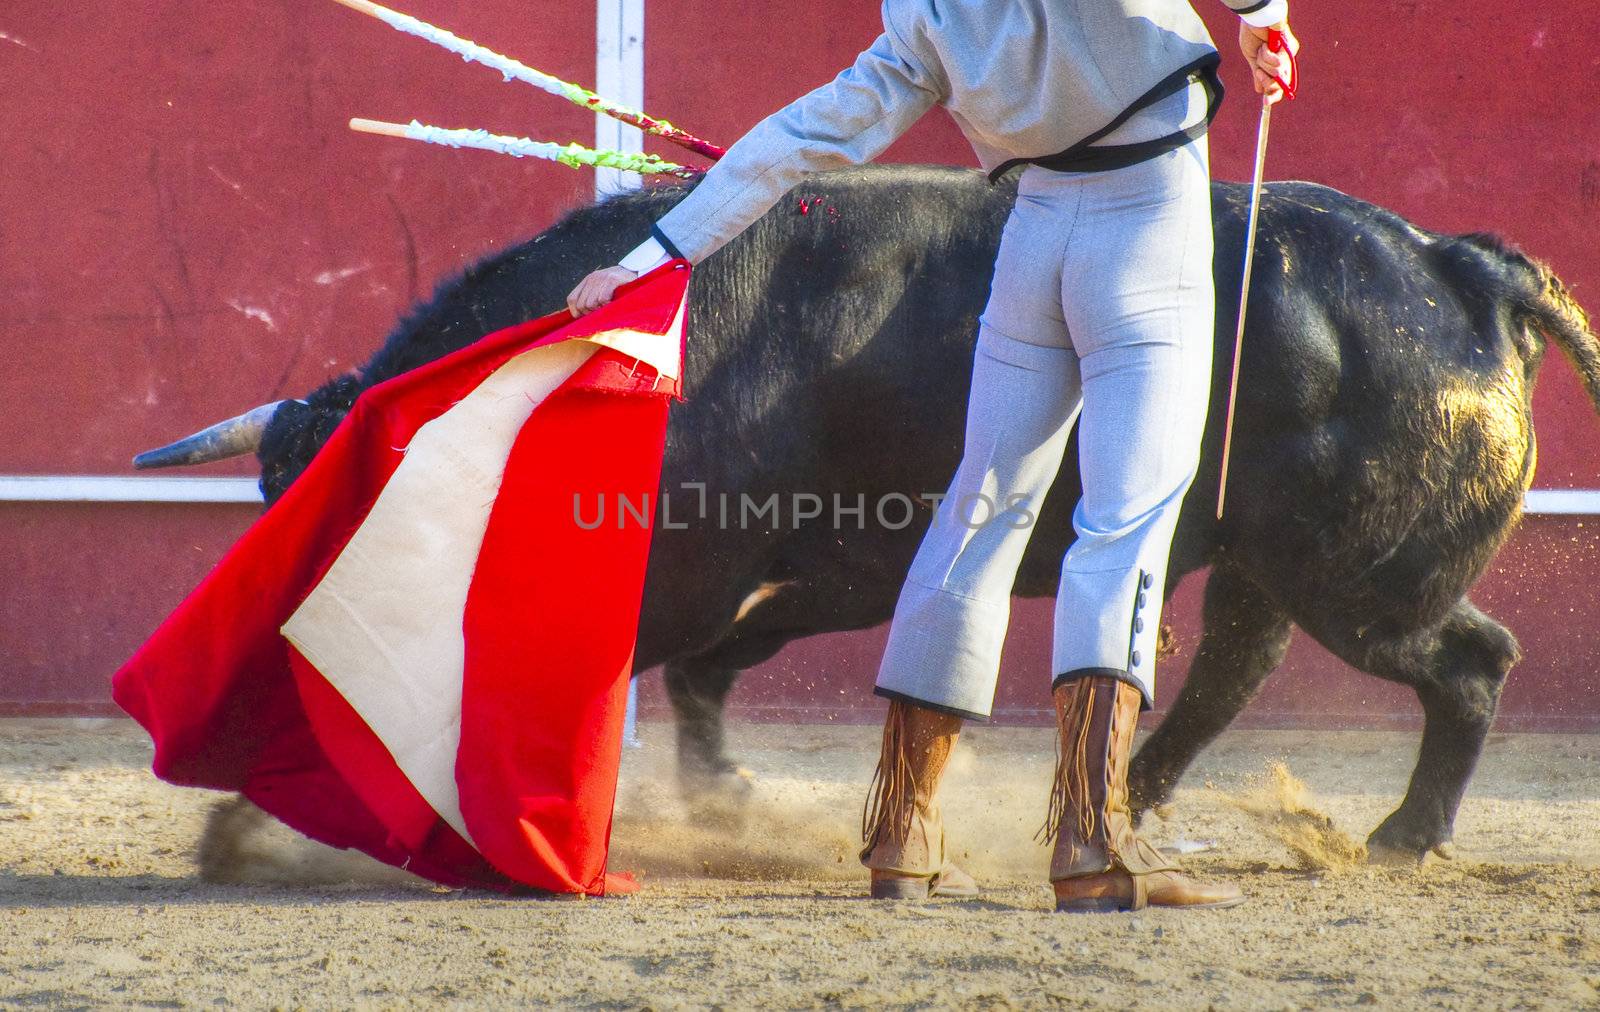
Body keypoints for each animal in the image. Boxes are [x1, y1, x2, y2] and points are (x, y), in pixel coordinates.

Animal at [252, 165, 1600, 864]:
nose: (289, 656)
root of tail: (1455, 265)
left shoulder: (694, 575)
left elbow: (624, 670)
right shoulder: (787, 579)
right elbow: (700, 678)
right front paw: (723, 797)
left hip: (1363, 581)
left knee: (1469, 662)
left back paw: (1400, 834)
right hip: (1272, 563)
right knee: (1234, 664)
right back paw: (1135, 799)